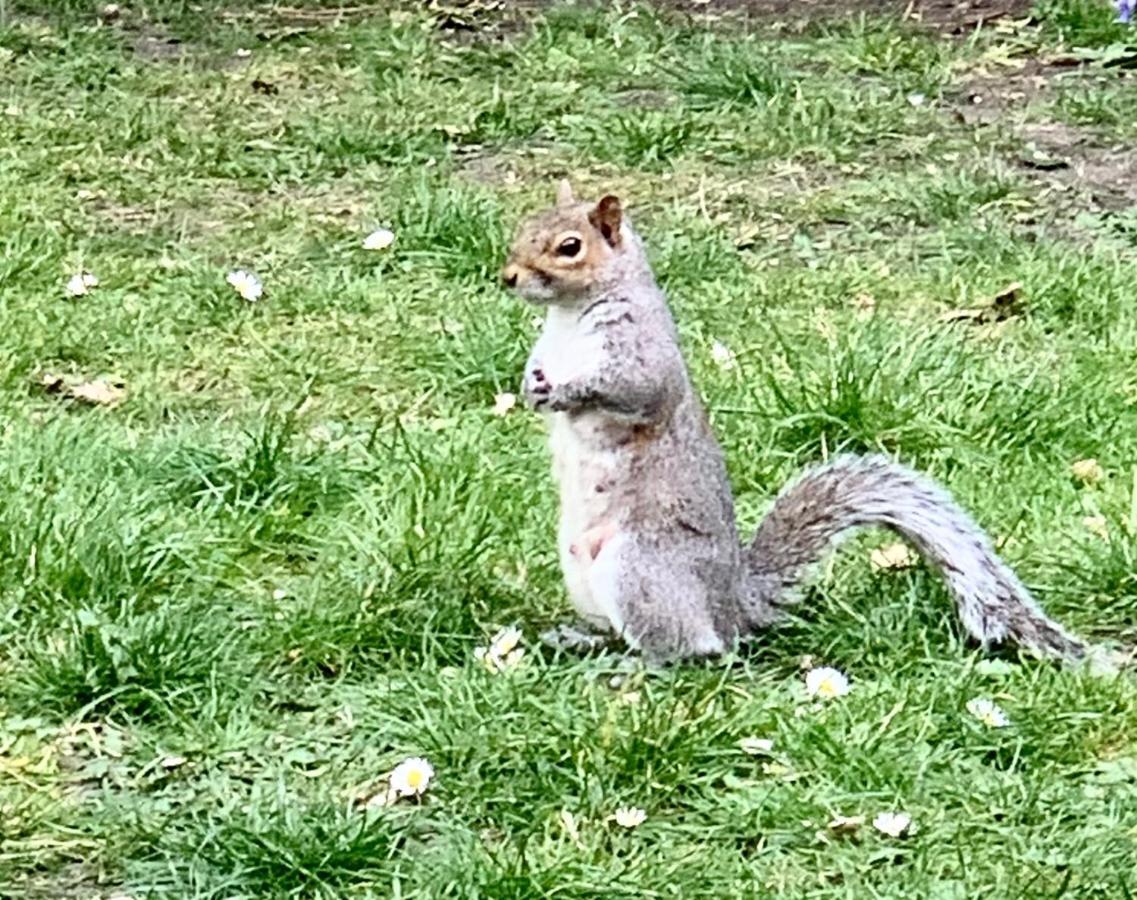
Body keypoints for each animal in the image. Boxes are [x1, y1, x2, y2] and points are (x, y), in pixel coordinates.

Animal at [502, 177, 1105, 668]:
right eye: (526, 225)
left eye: (570, 247)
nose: (508, 276)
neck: (570, 316)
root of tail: (731, 605)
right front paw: (530, 386)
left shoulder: (642, 355)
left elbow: (630, 391)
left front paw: (565, 391)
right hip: (581, 573)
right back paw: (582, 639)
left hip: (637, 569)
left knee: (693, 649)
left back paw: (641, 664)